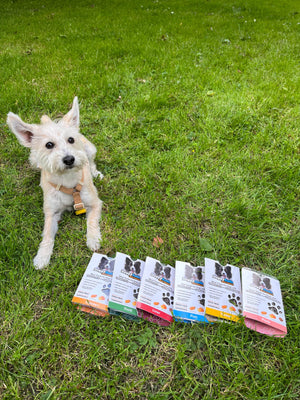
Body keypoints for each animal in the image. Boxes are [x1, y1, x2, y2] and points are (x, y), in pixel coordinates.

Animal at [7, 96, 103, 268]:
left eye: (71, 139)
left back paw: (96, 173)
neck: (68, 181)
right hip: (34, 160)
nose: (69, 159)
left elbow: (92, 221)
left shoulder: (95, 203)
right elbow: (47, 235)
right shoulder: (51, 213)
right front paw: (42, 257)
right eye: (49, 145)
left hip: (90, 149)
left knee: (91, 161)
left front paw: (93, 239)